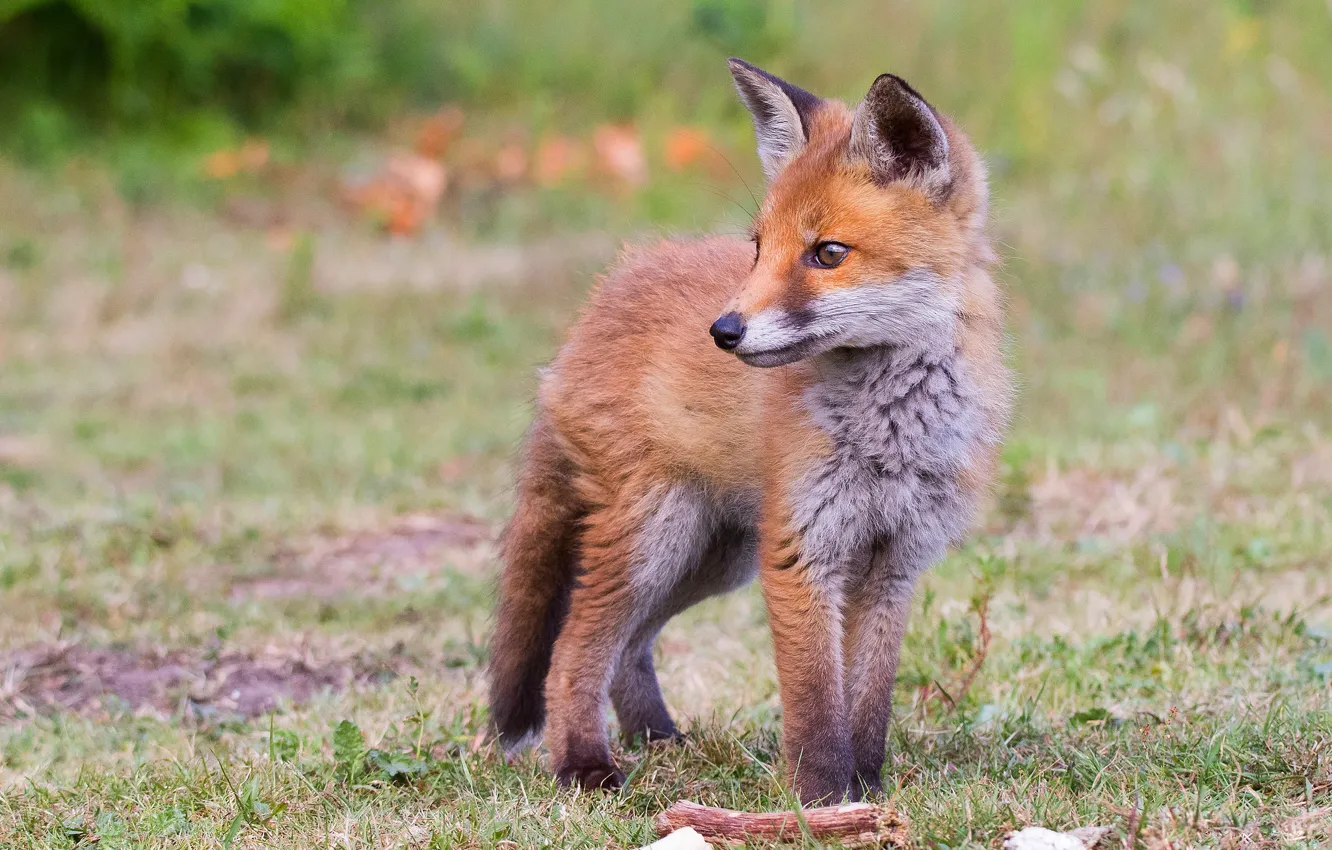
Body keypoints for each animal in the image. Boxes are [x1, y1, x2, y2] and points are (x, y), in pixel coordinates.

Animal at [488, 58, 1011, 805]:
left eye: (828, 253)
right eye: (759, 249)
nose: (724, 331)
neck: (889, 434)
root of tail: (593, 307)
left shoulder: (897, 562)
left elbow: (868, 700)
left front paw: (868, 789)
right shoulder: (800, 550)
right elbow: (816, 705)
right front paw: (821, 802)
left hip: (712, 555)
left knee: (629, 649)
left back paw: (660, 740)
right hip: (658, 535)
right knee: (573, 648)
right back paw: (585, 765)